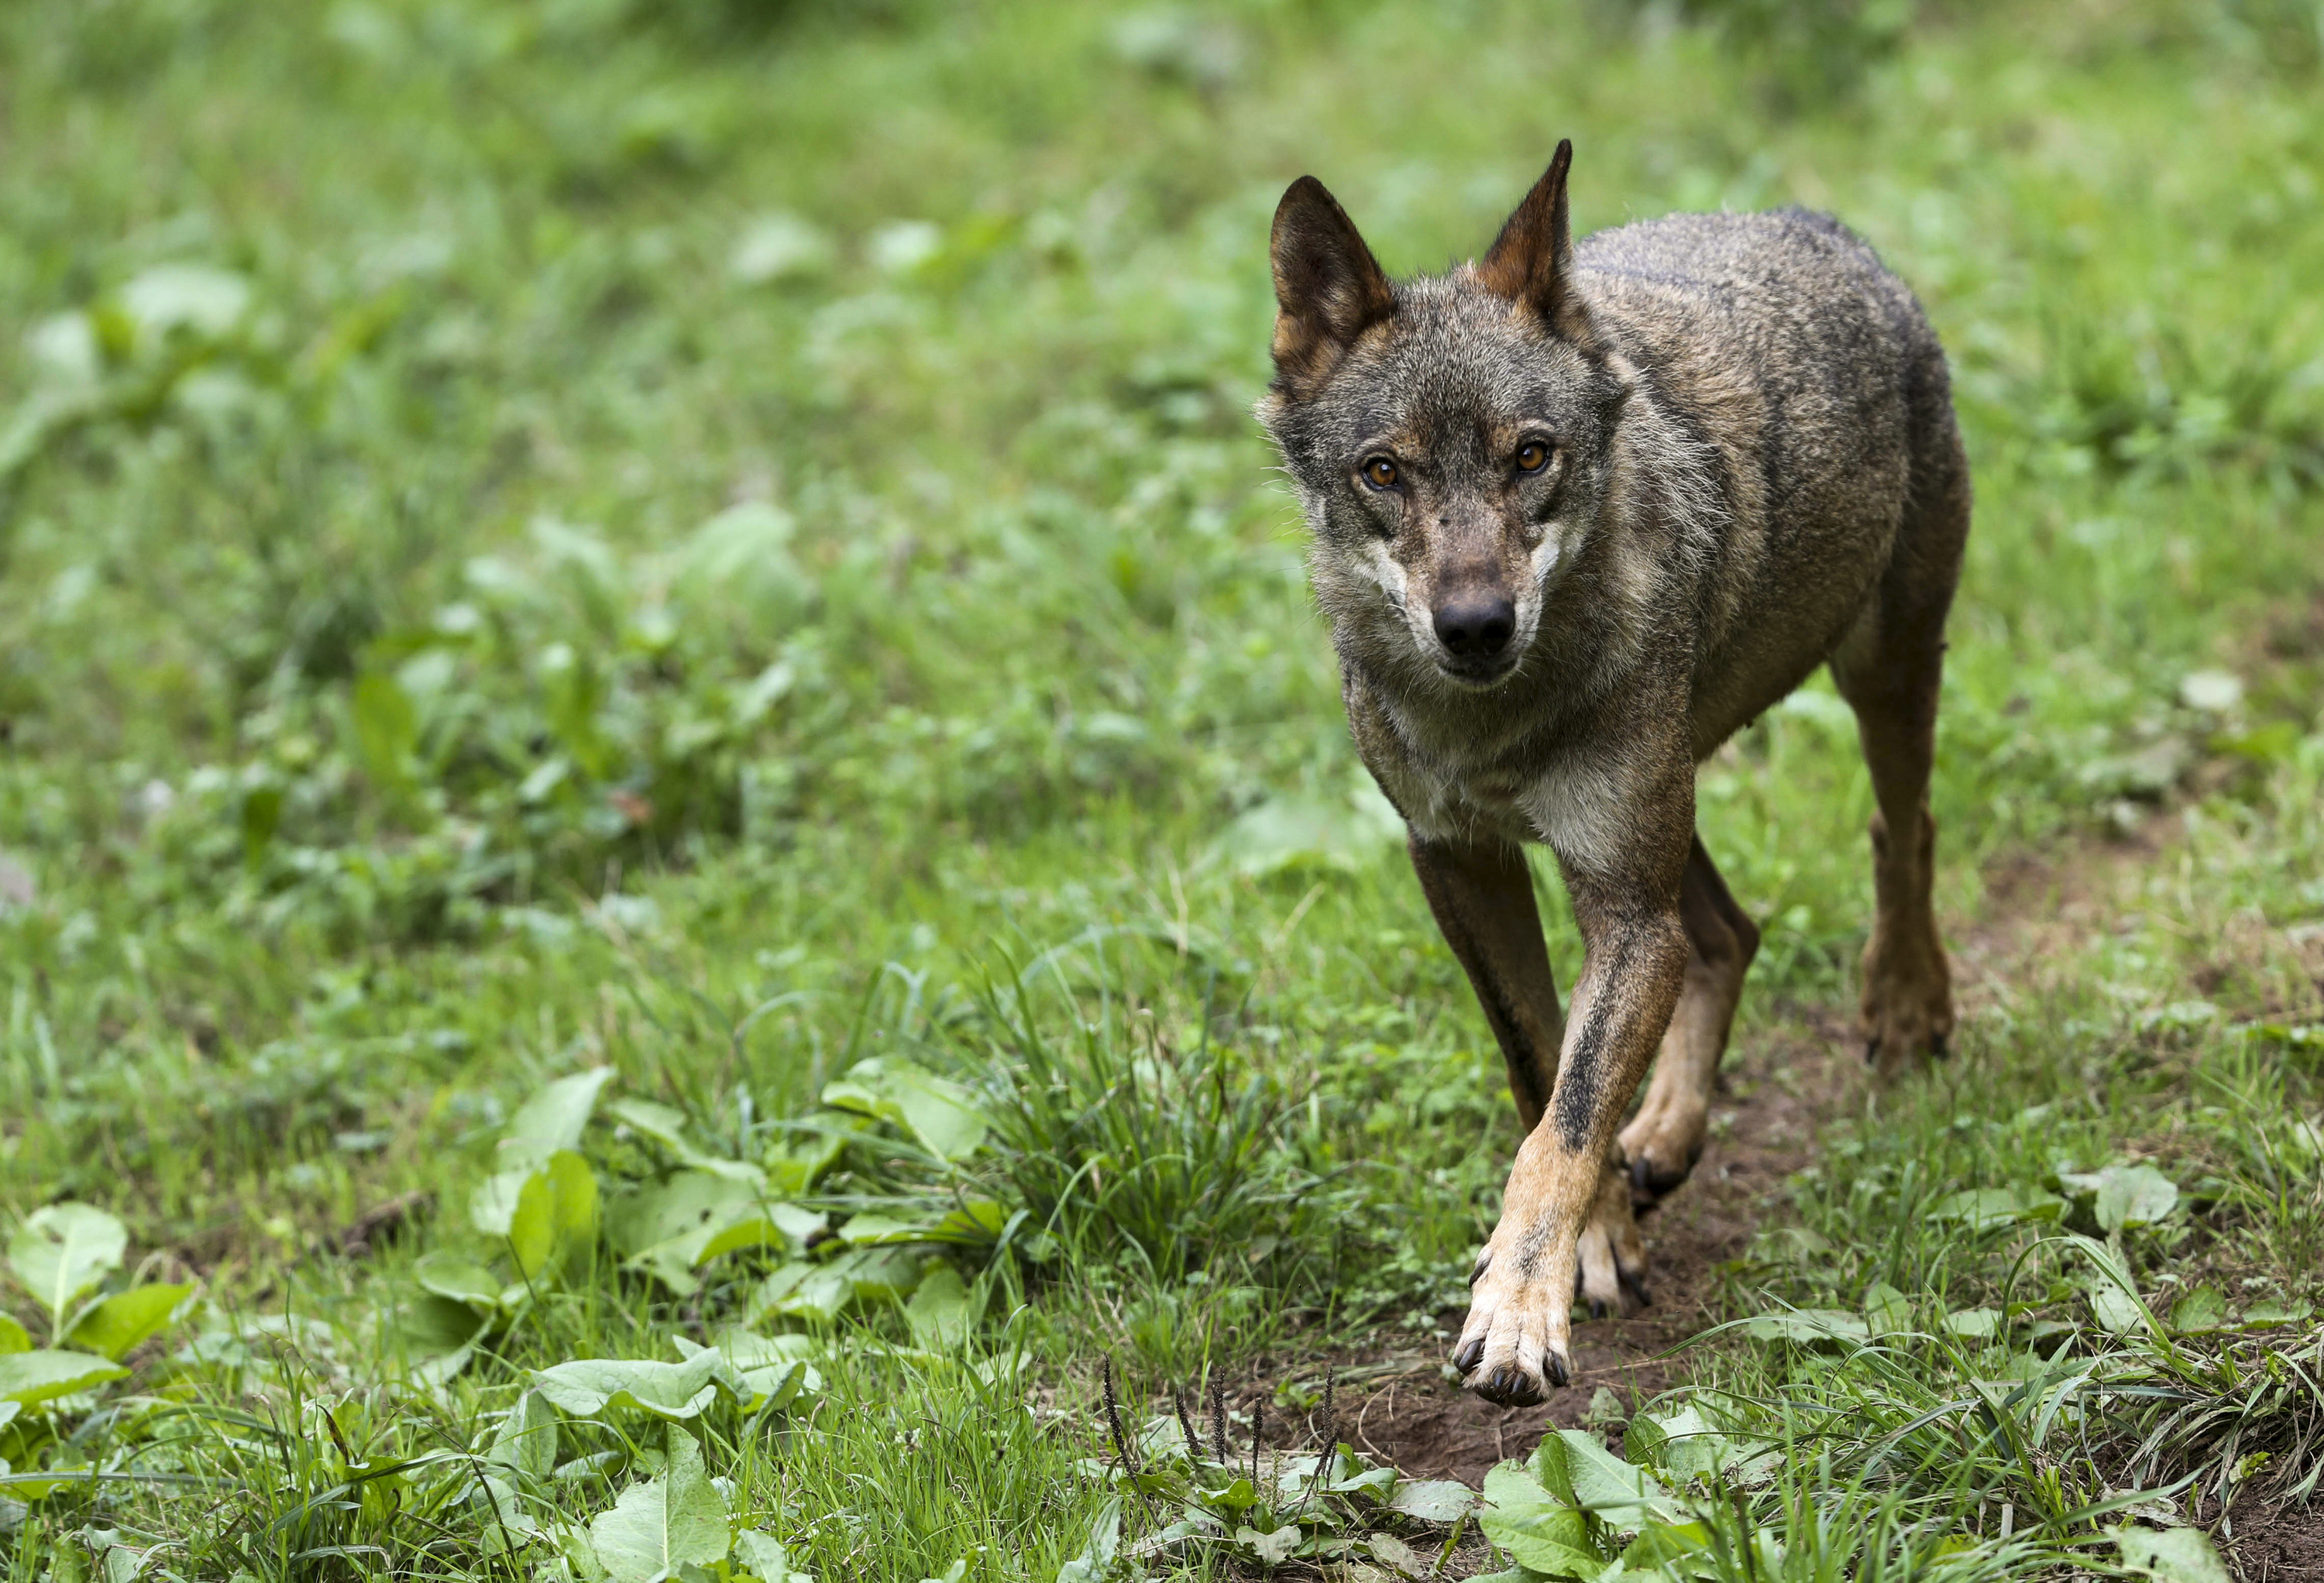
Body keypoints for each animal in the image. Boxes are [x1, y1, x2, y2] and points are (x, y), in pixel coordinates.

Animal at [1264, 142, 1971, 1403]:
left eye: (1531, 456)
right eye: (1383, 472)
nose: (1476, 626)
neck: (1494, 727)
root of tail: (1814, 223)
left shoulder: (1624, 910)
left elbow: (1566, 1120)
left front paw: (1517, 1311)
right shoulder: (1461, 866)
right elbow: (1541, 1069)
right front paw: (1596, 1242)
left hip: (1874, 680)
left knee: (1904, 831)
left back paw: (1904, 1005)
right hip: (1671, 811)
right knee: (1730, 930)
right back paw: (1672, 1136)